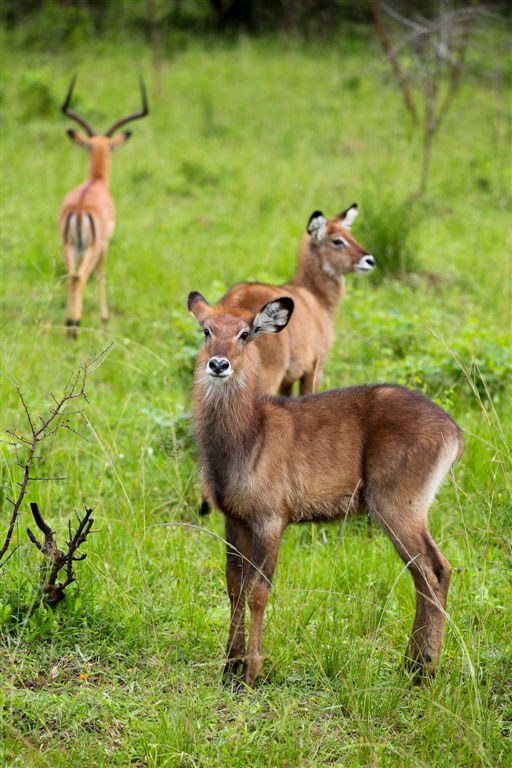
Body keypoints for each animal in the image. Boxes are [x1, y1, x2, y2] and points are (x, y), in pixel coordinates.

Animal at [59, 75, 149, 336]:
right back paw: (74, 326)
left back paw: (69, 324)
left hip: (69, 246)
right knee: (80, 276)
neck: (96, 181)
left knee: (71, 275)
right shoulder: (105, 244)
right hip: (92, 247)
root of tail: (80, 208)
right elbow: (101, 274)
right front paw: (104, 318)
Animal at [189, 292, 464, 688]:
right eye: (206, 330)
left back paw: (425, 669)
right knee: (422, 576)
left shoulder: (271, 518)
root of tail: (454, 432)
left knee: (436, 570)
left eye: (244, 333)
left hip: (397, 505)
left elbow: (258, 591)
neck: (245, 438)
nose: (219, 364)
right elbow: (233, 587)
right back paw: (410, 665)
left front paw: (251, 673)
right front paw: (229, 665)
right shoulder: (234, 518)